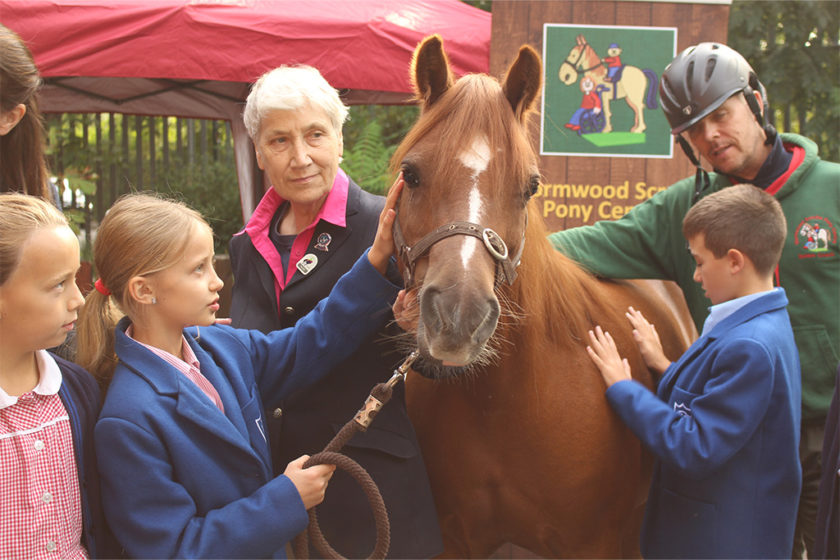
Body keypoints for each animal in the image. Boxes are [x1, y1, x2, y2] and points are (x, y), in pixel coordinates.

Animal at [390, 37, 692, 556]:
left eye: (529, 186)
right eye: (410, 174)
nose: (458, 317)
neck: (501, 402)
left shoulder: (592, 544)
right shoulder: (455, 540)